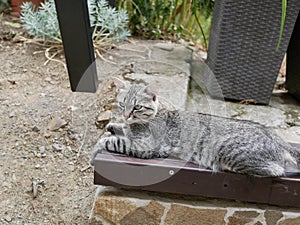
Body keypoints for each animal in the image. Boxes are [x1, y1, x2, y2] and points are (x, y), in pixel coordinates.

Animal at [91, 78, 300, 177]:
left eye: (137, 107)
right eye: (122, 104)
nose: (127, 115)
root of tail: (277, 138)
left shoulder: (146, 147)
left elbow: (112, 141)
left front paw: (97, 149)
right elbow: (119, 130)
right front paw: (114, 125)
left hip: (228, 150)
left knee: (276, 170)